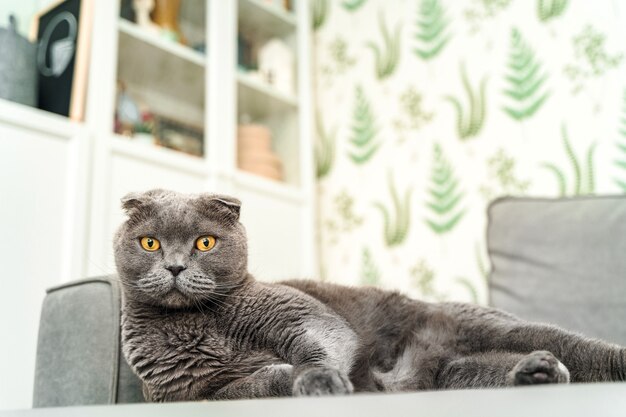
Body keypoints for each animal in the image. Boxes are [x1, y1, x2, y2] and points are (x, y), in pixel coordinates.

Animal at [116, 190, 624, 402]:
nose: (175, 266)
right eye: (150, 243)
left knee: (586, 352)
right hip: (457, 373)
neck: (198, 325)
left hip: (502, 327)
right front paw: (283, 376)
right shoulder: (184, 397)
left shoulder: (299, 314)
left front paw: (316, 379)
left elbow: (320, 341)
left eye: (204, 242)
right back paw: (537, 373)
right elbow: (242, 388)